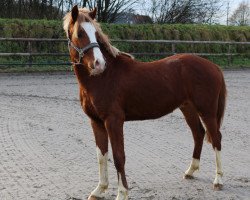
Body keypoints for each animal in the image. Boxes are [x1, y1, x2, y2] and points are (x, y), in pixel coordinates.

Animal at [63, 5, 227, 199]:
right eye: (80, 33)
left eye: (96, 33)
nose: (99, 64)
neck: (104, 77)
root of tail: (214, 66)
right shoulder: (96, 122)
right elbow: (101, 156)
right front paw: (99, 190)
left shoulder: (113, 121)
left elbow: (118, 157)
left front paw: (122, 193)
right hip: (188, 108)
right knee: (199, 134)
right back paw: (190, 171)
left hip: (207, 111)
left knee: (216, 138)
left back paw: (218, 181)